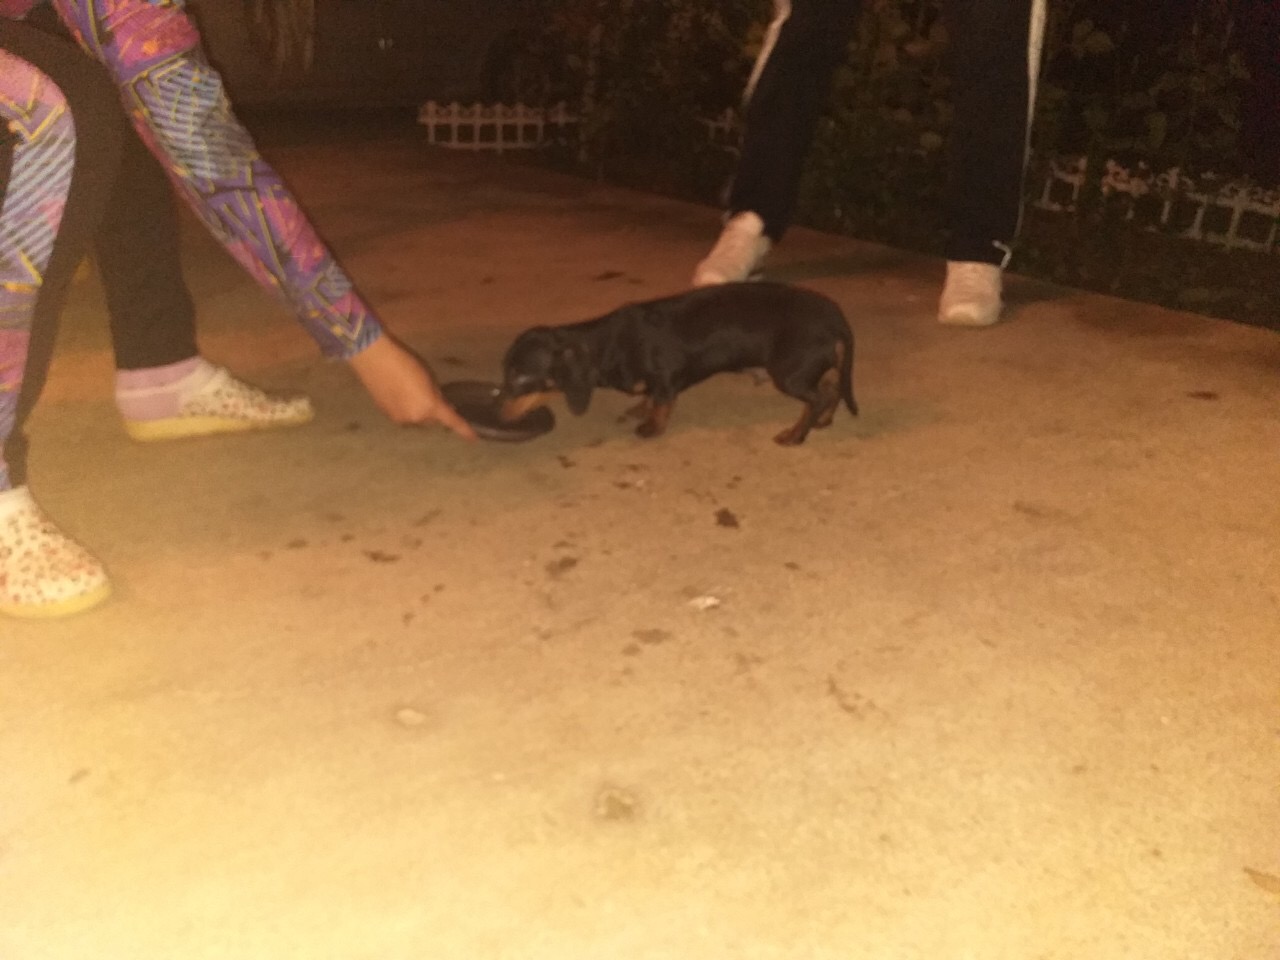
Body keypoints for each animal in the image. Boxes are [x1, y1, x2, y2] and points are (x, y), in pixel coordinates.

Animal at [499, 282, 856, 445]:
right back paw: (824, 421)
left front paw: (651, 427)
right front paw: (640, 409)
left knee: (816, 398)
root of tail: (835, 316)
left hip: (790, 373)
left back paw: (796, 435)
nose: (498, 413)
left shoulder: (666, 378)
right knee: (832, 389)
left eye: (520, 379)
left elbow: (661, 404)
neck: (609, 343)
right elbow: (649, 397)